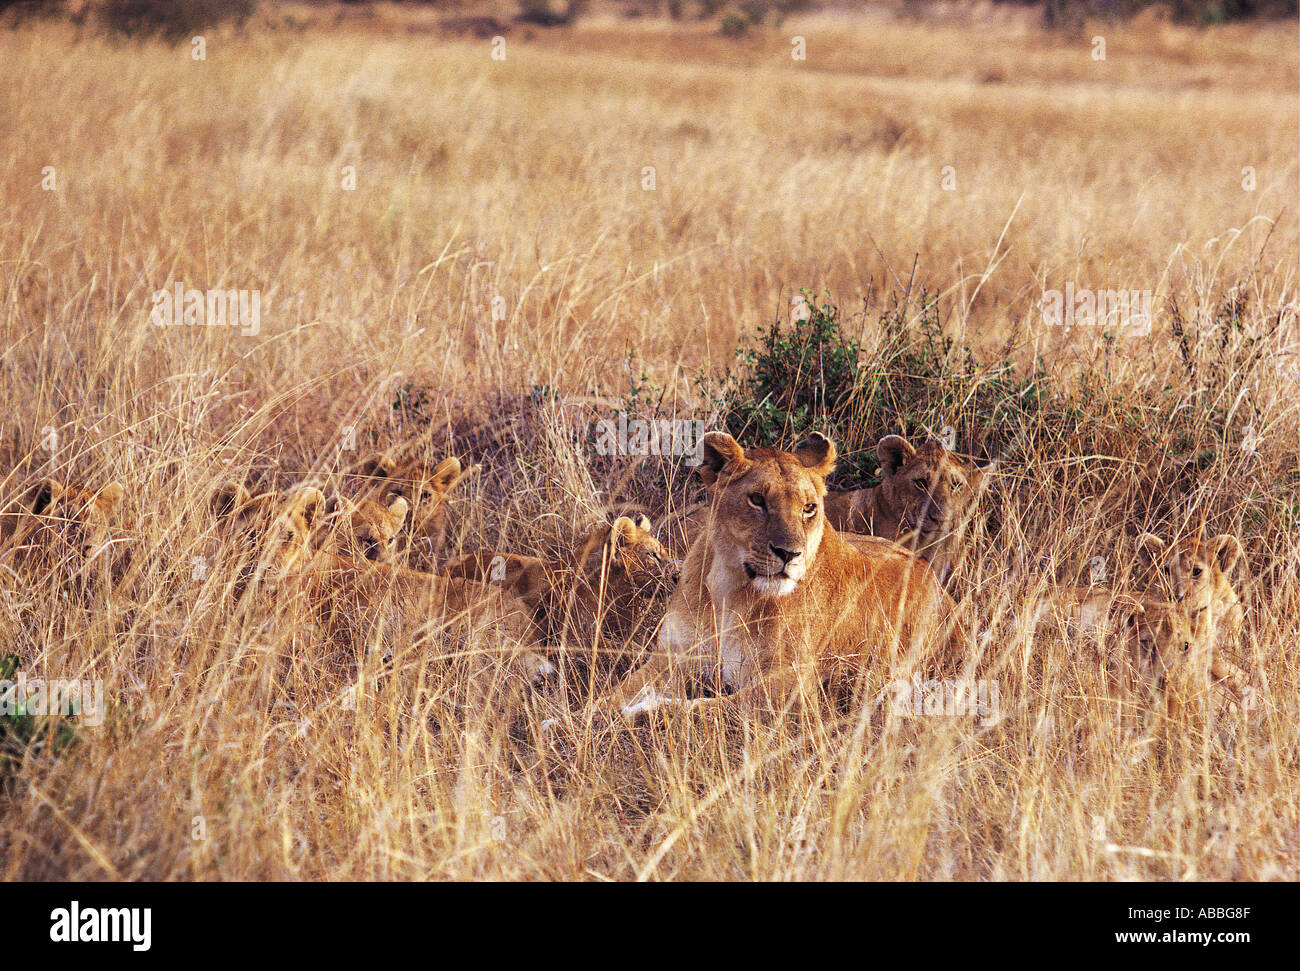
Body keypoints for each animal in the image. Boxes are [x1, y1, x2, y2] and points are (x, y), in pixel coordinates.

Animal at [595, 434, 967, 722]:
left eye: (808, 508)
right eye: (757, 500)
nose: (790, 554)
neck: (729, 587)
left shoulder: (793, 691)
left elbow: (699, 708)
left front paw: (642, 712)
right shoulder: (670, 658)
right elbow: (611, 695)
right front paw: (588, 714)